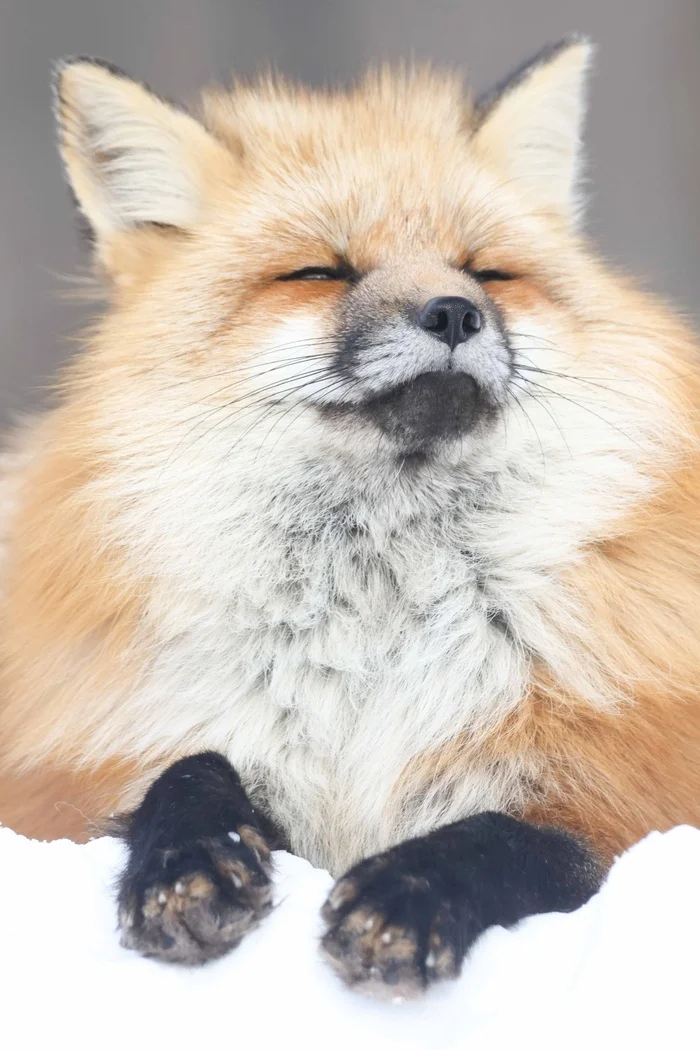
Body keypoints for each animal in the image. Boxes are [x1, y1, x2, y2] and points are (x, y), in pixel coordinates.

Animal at [1, 37, 700, 995]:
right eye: (317, 272)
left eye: (488, 270)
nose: (454, 312)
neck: (378, 622)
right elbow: (185, 768)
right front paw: (187, 862)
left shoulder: (628, 793)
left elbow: (512, 840)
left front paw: (411, 892)